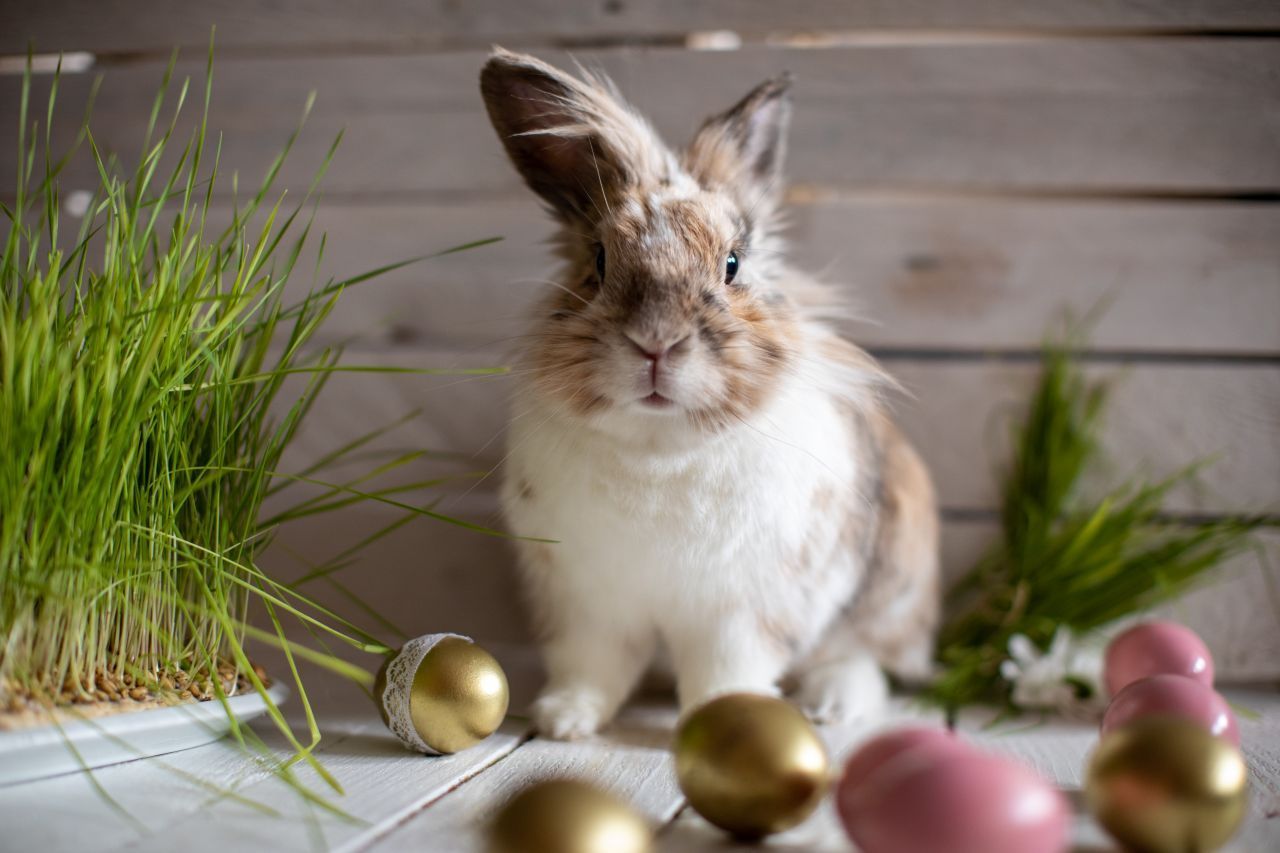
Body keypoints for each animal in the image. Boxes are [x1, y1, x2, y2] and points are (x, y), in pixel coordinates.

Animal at [481, 48, 942, 737]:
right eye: (599, 261)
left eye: (732, 265)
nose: (656, 343)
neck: (659, 448)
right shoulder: (587, 605)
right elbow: (592, 666)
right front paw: (564, 720)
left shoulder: (745, 614)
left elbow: (727, 672)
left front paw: (730, 723)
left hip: (890, 590)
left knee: (863, 656)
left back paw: (834, 704)